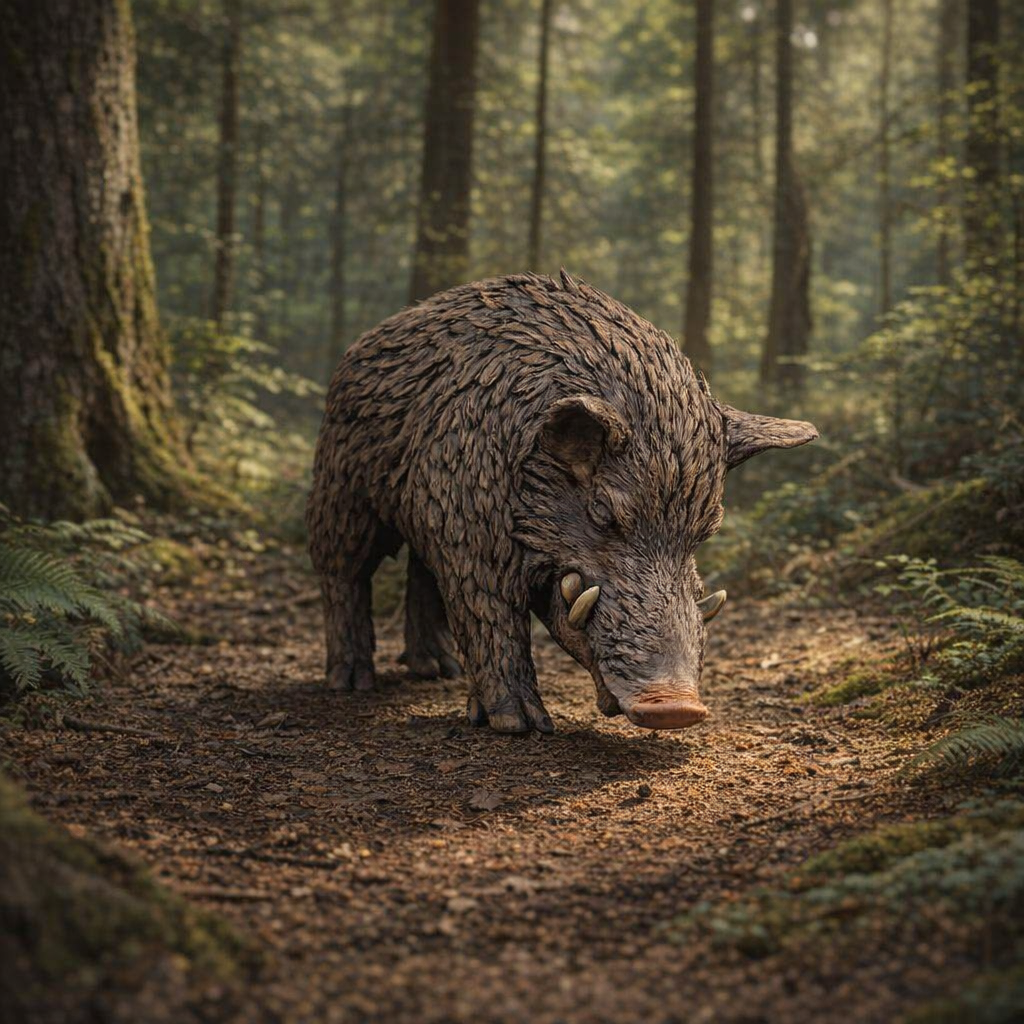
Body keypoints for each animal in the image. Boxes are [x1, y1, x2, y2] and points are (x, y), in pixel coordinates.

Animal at [306, 271, 817, 734]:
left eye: (708, 527)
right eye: (603, 513)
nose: (677, 708)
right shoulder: (471, 525)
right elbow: (489, 612)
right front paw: (522, 725)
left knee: (421, 570)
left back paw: (437, 672)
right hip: (341, 485)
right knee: (343, 570)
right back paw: (351, 682)